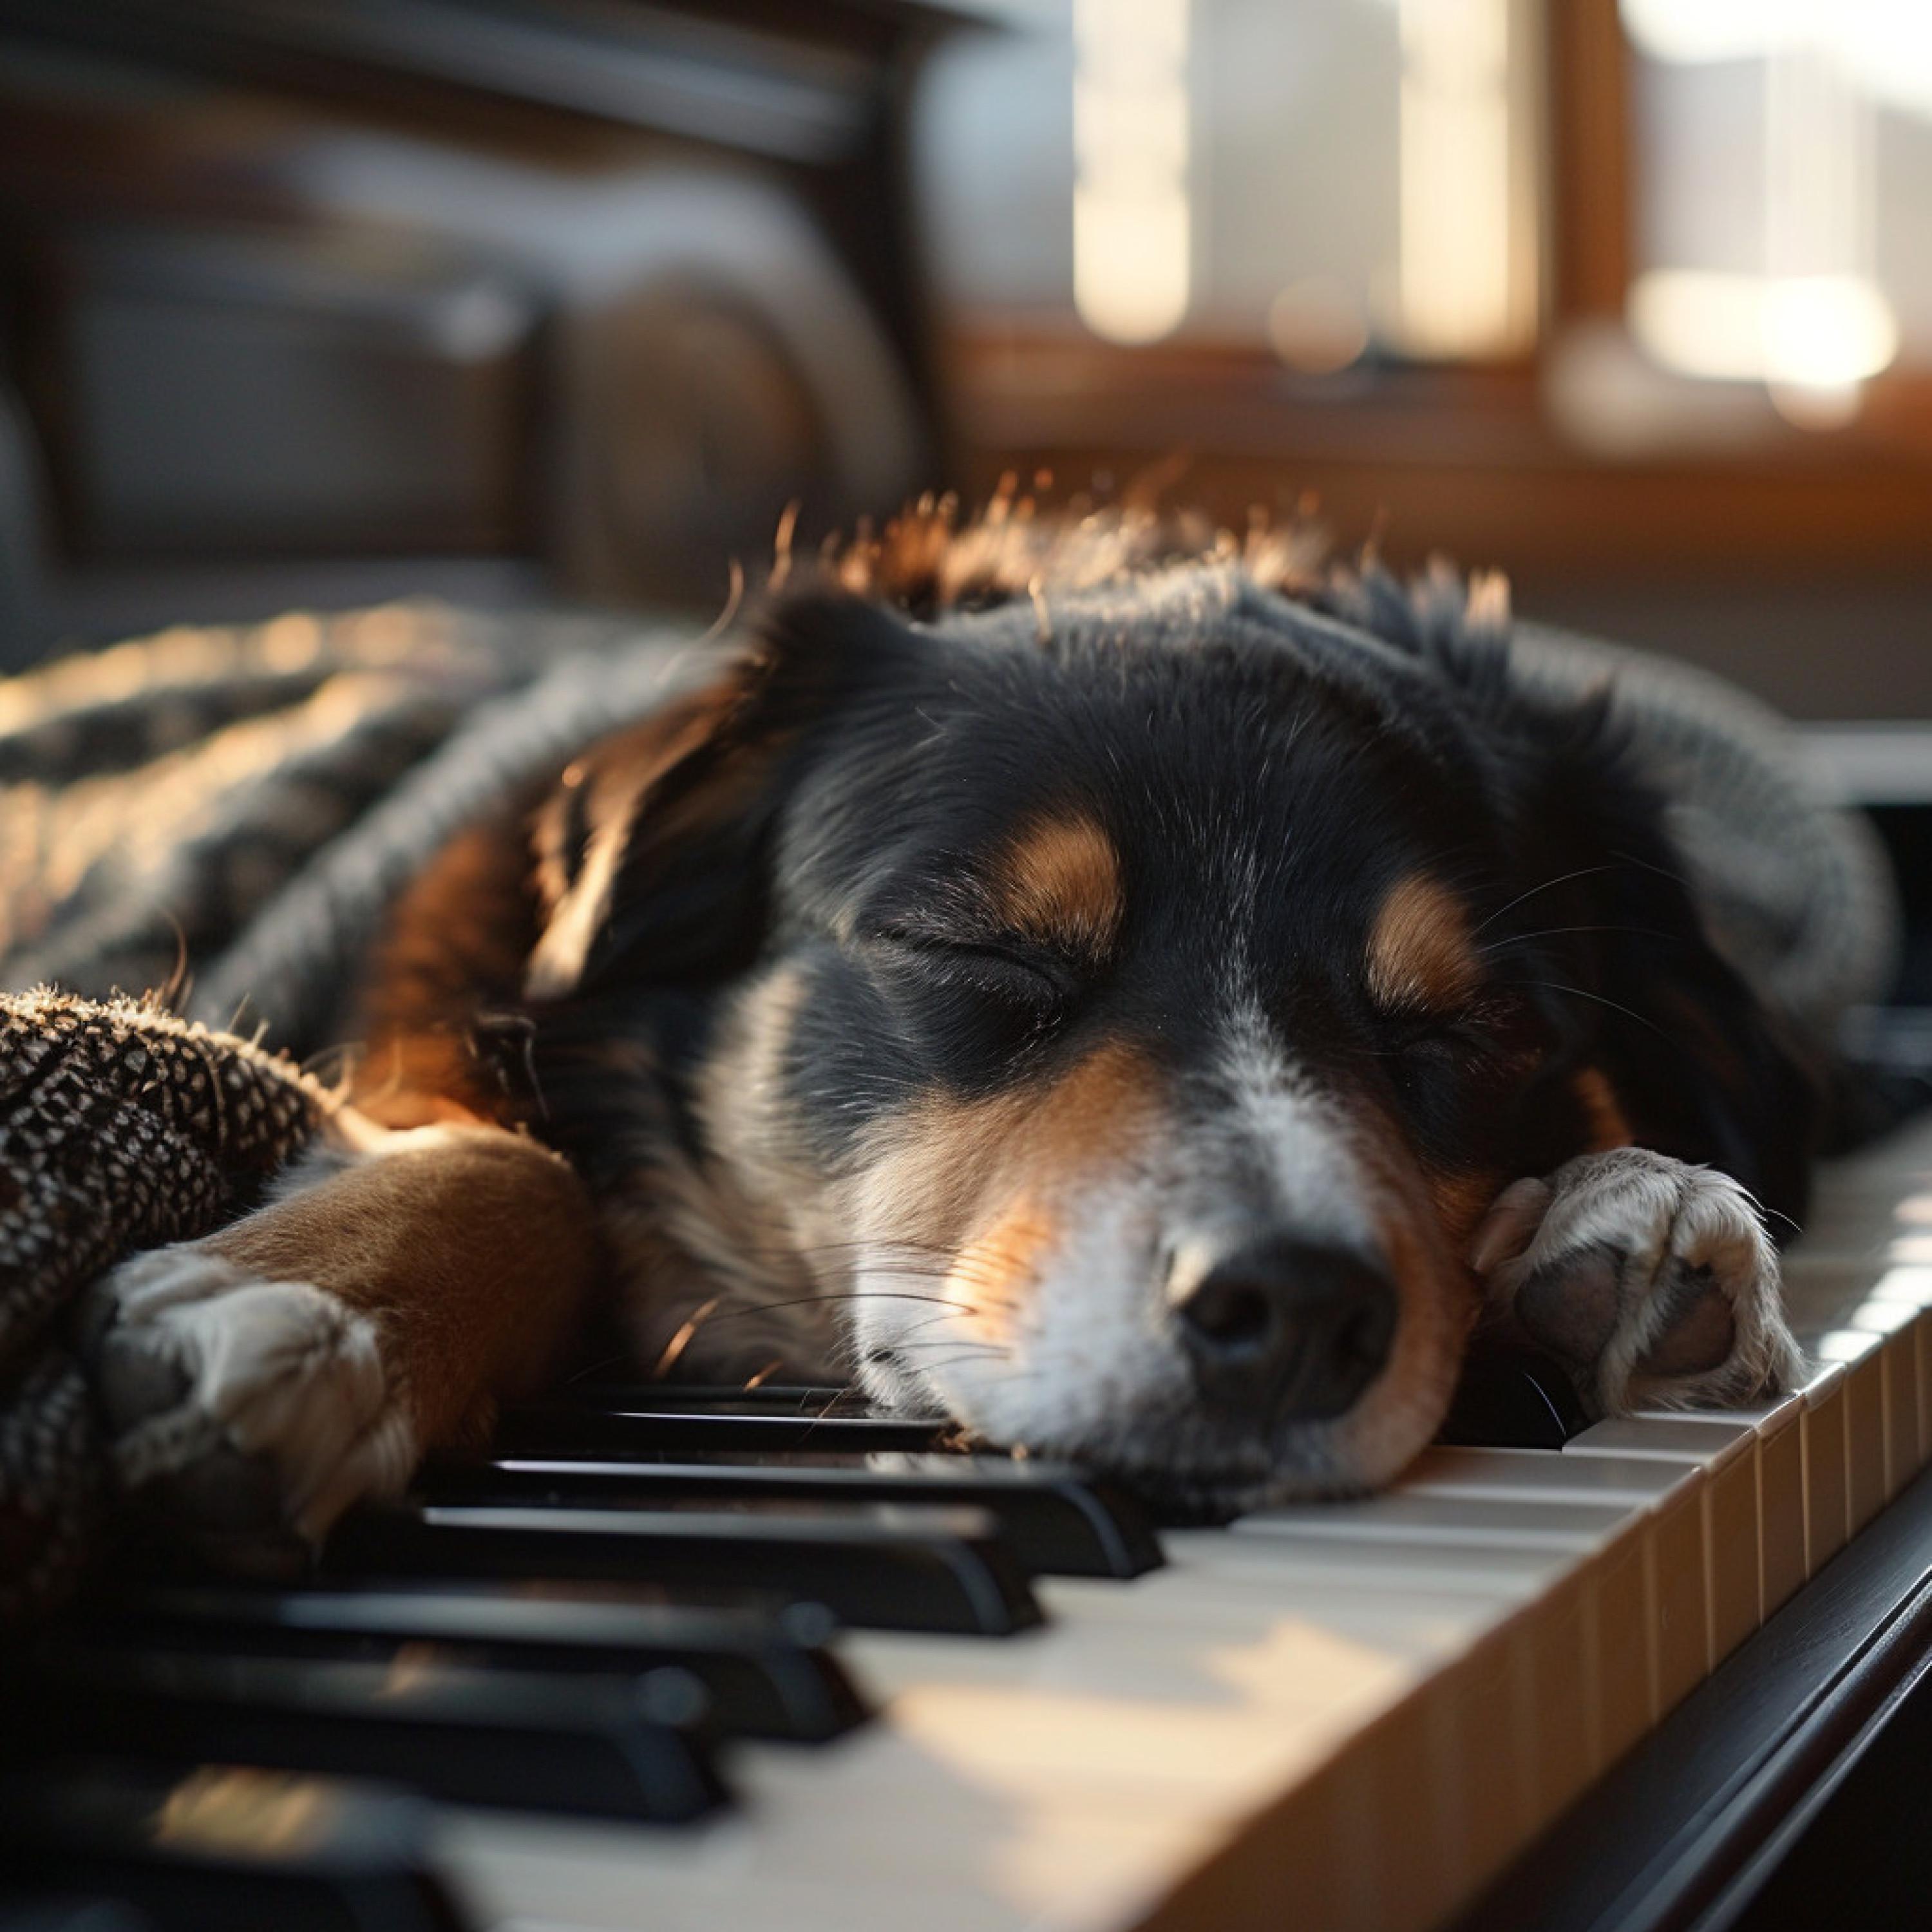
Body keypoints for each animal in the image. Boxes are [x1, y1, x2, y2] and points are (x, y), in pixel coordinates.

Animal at [87, 502, 1808, 1553]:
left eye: (1467, 1026)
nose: (1296, 1308)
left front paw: (1616, 1219)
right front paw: (314, 1304)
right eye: (971, 946)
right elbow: (525, 1168)